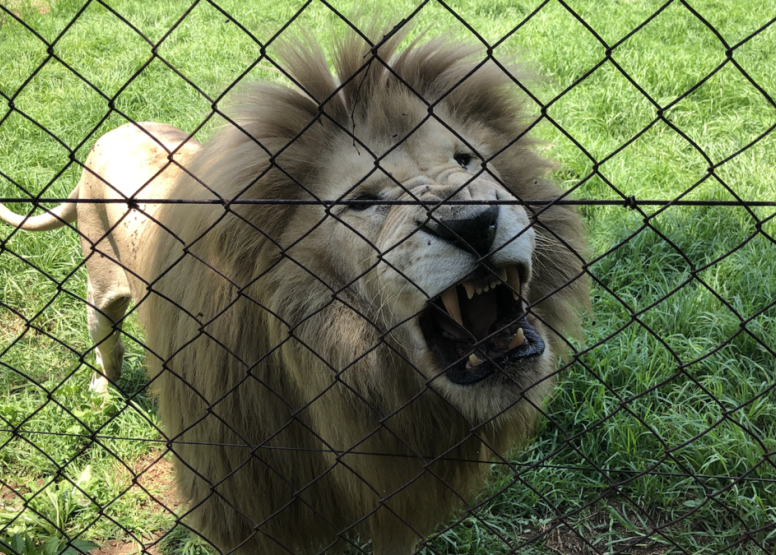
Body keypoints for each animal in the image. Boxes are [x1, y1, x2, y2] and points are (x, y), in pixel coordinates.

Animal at [0, 22, 584, 555]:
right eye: (363, 202)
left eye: (466, 160)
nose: (472, 223)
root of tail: (111, 132)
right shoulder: (249, 499)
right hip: (100, 286)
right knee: (107, 341)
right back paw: (102, 392)